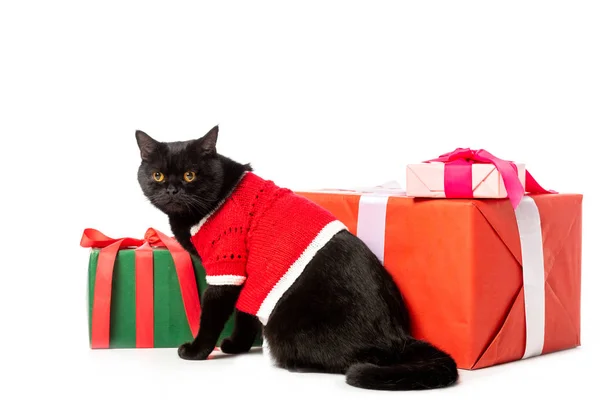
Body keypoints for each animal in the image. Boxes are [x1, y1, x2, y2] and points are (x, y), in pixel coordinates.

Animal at [134, 126, 458, 390]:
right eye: (157, 175)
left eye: (190, 174)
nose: (172, 189)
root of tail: (398, 336)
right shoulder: (249, 278)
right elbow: (245, 314)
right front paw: (237, 346)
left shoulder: (227, 268)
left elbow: (213, 316)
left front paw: (197, 351)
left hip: (286, 328)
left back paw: (293, 363)